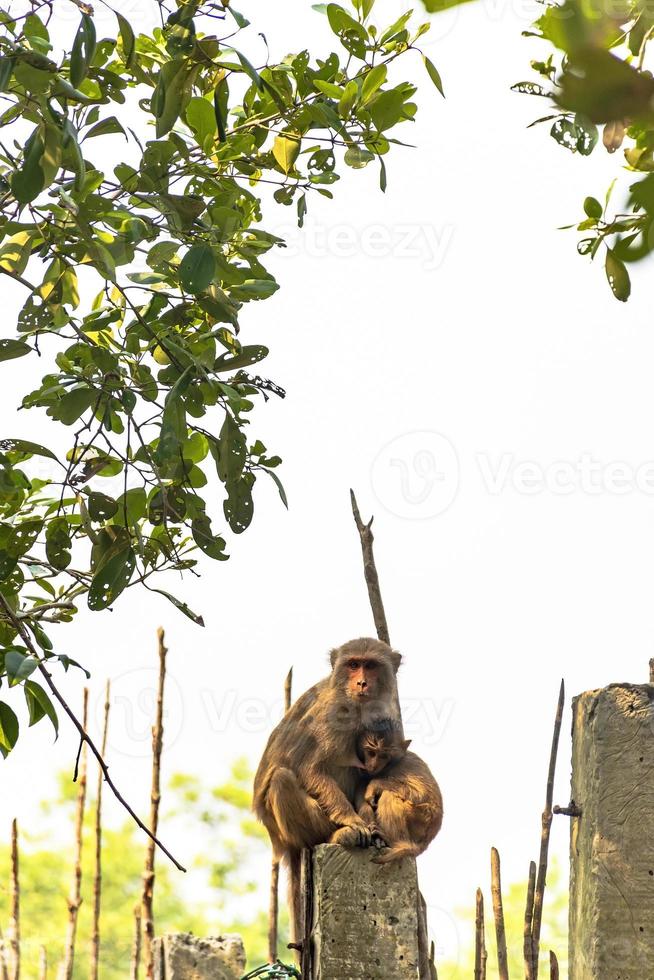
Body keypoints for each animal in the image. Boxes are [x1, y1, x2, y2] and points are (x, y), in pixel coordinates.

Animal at [358, 720, 446, 864]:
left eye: (384, 756)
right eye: (371, 752)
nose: (373, 765)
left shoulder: (406, 764)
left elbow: (422, 793)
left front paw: (374, 785)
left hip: (420, 819)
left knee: (389, 796)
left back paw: (395, 842)